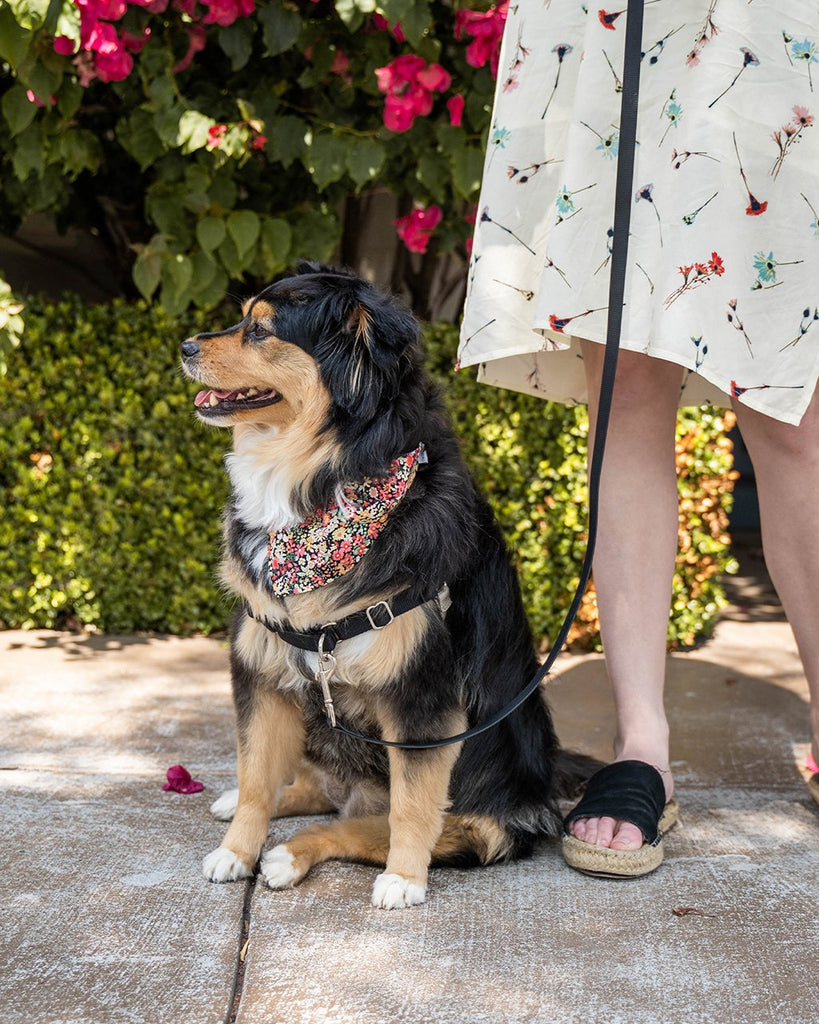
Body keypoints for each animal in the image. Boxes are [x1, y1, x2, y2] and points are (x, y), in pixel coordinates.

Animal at [181, 260, 593, 909]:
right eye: (241, 317)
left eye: (262, 331)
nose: (185, 347)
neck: (320, 491)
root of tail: (547, 783)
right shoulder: (263, 667)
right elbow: (254, 779)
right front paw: (236, 850)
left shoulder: (422, 697)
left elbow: (411, 807)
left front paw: (404, 878)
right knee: (312, 790)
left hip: (479, 822)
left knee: (359, 822)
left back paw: (296, 856)